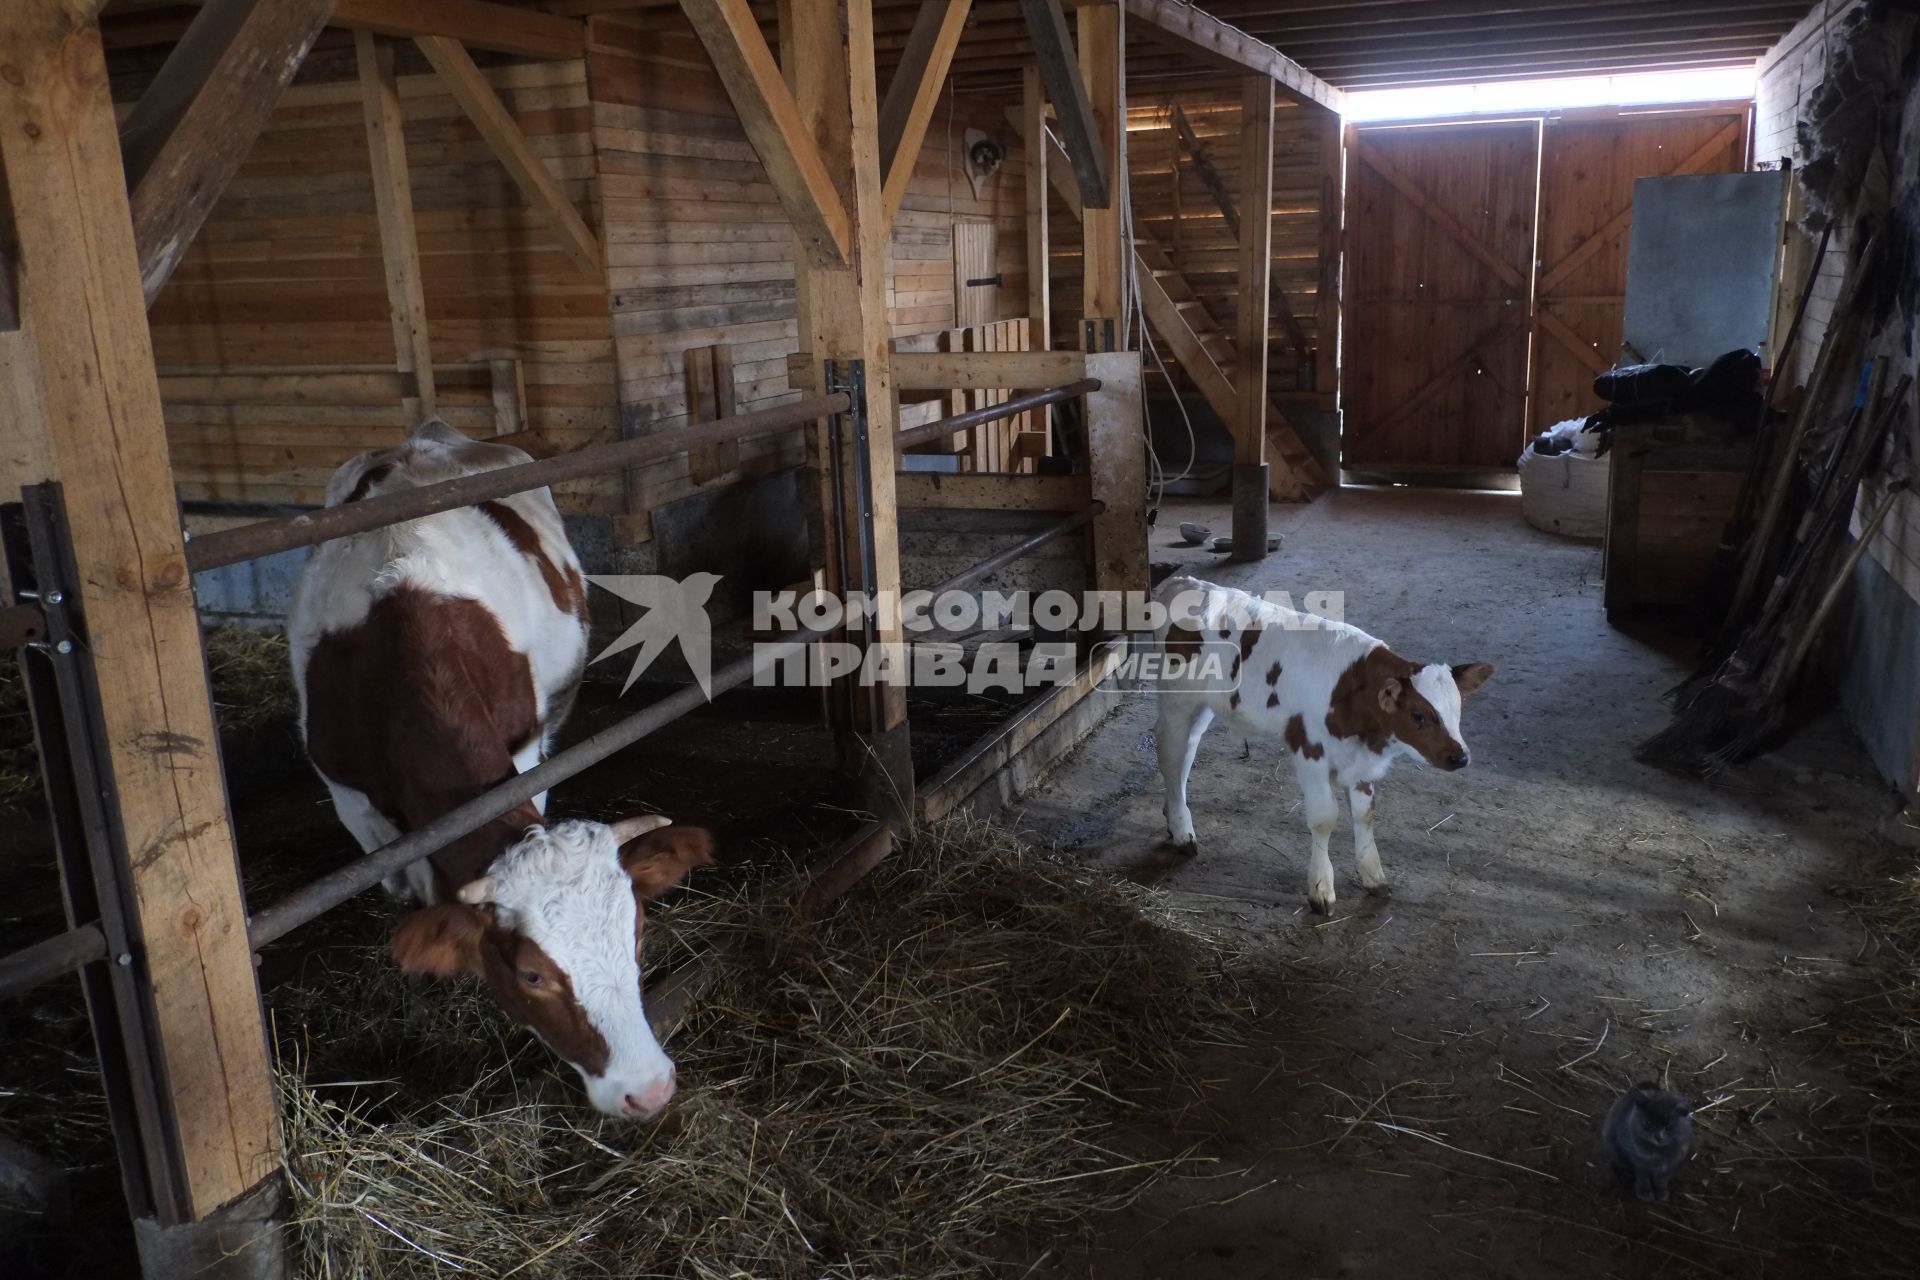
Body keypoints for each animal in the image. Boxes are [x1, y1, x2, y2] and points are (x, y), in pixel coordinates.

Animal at [295, 422, 718, 1120]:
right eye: (532, 974)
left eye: (637, 931)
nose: (649, 1088)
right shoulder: (348, 795)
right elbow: (404, 888)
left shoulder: (524, 755)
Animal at [1144, 575, 1489, 917]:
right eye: (1418, 714)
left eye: (1458, 709)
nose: (1460, 757)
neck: (1351, 691)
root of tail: (1185, 582)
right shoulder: (1309, 749)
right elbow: (1324, 819)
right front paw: (1321, 889)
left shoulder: (1360, 761)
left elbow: (1365, 815)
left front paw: (1373, 876)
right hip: (1177, 699)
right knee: (1171, 753)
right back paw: (1182, 830)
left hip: (1203, 705)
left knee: (1186, 753)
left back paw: (1174, 815)